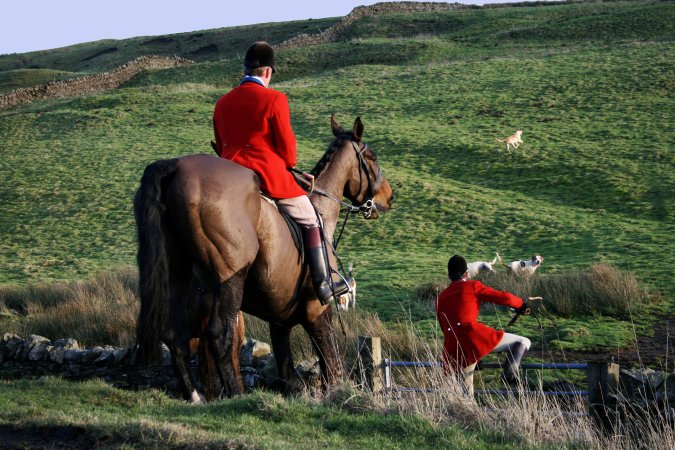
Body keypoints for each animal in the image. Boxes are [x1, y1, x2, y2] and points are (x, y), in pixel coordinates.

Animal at [133, 115, 394, 400]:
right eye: (372, 156)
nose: (388, 197)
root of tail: (173, 167)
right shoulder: (317, 311)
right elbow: (331, 366)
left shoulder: (279, 320)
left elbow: (287, 372)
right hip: (230, 279)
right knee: (219, 337)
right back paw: (235, 395)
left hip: (177, 276)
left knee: (176, 335)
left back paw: (195, 396)